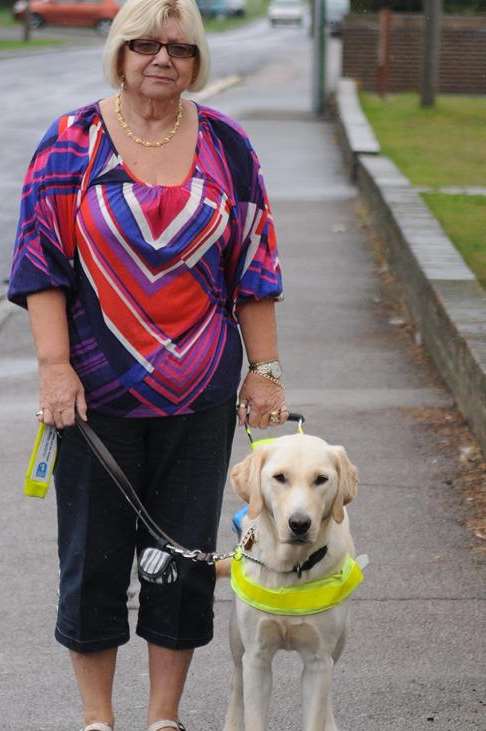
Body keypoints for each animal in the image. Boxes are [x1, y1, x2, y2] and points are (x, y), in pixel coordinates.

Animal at [223, 434, 360, 731]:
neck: (290, 568)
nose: (299, 524)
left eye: (321, 479)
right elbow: (253, 716)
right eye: (280, 477)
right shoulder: (257, 657)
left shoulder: (318, 661)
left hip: (338, 645)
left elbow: (315, 715)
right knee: (237, 686)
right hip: (237, 643)